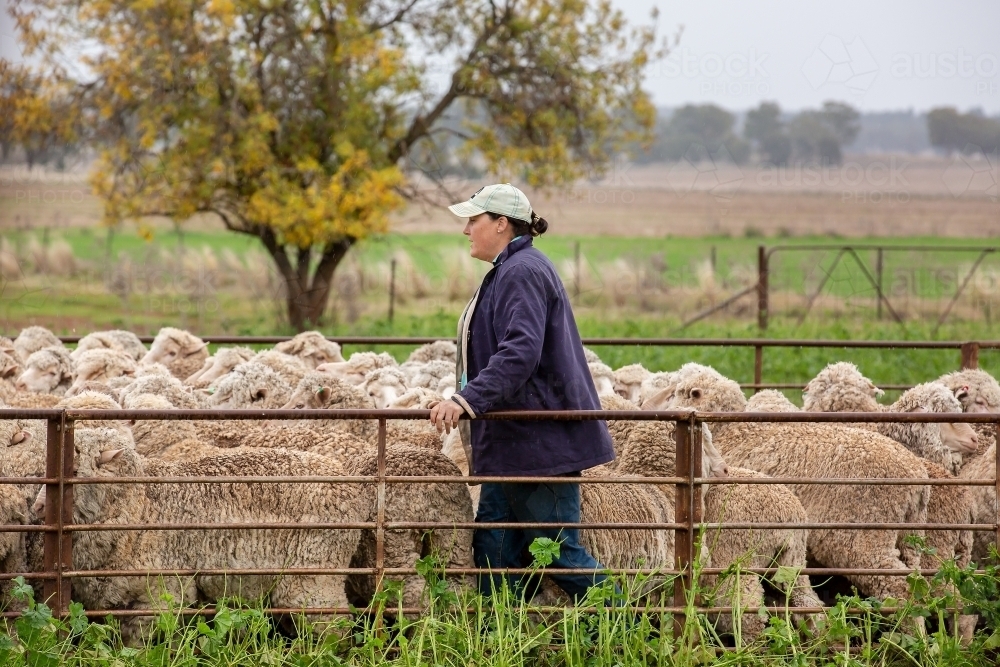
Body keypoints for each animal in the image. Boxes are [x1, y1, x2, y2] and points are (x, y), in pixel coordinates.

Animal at [35, 430, 374, 644]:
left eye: (74, 473)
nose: (38, 507)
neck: (140, 502)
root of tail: (348, 482)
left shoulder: (162, 593)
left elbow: (141, 646)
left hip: (312, 578)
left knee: (334, 629)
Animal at [652, 366, 932, 604]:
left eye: (676, 391)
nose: (647, 405)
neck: (733, 430)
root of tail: (918, 480)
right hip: (910, 539)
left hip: (861, 540)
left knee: (900, 588)